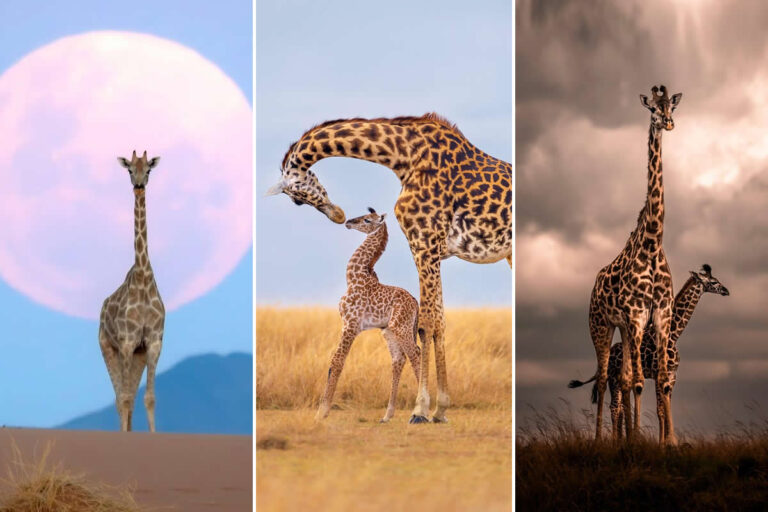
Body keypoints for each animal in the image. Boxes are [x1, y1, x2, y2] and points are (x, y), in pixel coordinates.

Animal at [315, 208, 421, 423]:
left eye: (367, 220)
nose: (348, 222)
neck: (354, 278)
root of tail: (415, 301)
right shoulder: (350, 324)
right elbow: (334, 360)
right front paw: (322, 410)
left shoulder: (351, 324)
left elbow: (337, 361)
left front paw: (322, 412)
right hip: (389, 331)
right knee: (399, 359)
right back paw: (387, 415)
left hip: (401, 327)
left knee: (416, 354)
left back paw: (421, 412)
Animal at [570, 264, 729, 443]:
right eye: (713, 281)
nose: (726, 290)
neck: (674, 335)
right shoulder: (660, 373)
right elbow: (660, 410)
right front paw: (664, 444)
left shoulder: (672, 375)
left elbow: (663, 408)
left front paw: (668, 442)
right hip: (613, 379)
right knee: (614, 407)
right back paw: (616, 441)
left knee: (619, 408)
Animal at [585, 85, 682, 442]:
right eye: (652, 108)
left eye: (672, 106)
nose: (668, 122)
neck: (653, 243)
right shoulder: (638, 315)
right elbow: (640, 382)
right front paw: (639, 442)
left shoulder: (660, 314)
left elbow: (659, 382)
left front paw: (666, 444)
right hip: (601, 325)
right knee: (603, 379)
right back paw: (600, 440)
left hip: (625, 330)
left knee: (622, 378)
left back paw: (621, 438)